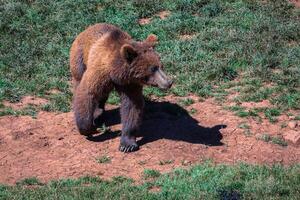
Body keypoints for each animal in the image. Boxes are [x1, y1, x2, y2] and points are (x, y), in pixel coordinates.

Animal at [70, 24, 172, 153]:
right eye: (153, 69)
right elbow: (87, 93)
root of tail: (88, 28)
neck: (115, 71)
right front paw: (89, 129)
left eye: (161, 66)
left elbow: (131, 106)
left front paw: (127, 144)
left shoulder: (129, 83)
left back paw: (99, 112)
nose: (169, 82)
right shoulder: (100, 71)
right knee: (79, 82)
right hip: (80, 58)